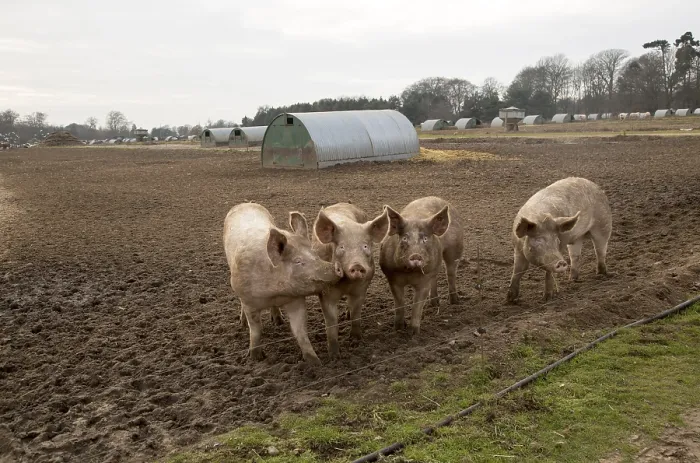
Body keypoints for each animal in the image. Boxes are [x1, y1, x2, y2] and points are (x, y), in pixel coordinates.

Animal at [223, 203, 343, 365]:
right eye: (298, 261)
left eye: (315, 254)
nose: (336, 267)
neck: (276, 292)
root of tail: (245, 203)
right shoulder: (249, 302)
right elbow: (256, 330)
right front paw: (255, 358)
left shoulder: (296, 301)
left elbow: (300, 331)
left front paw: (315, 362)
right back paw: (242, 324)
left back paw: (278, 322)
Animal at [312, 203, 390, 358]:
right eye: (342, 247)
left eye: (365, 246)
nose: (357, 265)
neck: (346, 283)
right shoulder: (325, 293)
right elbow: (331, 322)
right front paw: (334, 356)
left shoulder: (362, 288)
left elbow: (356, 314)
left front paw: (356, 341)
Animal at [380, 197, 464, 335]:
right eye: (404, 238)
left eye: (425, 238)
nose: (416, 255)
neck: (409, 272)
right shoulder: (392, 278)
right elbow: (400, 303)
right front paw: (397, 329)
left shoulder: (424, 280)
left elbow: (417, 304)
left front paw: (413, 333)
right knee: (436, 277)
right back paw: (434, 304)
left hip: (455, 249)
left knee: (450, 273)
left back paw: (455, 302)